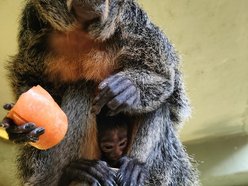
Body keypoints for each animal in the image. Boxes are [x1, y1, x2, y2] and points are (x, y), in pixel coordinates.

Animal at [1, 0, 199, 185]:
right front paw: (19, 129)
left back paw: (134, 166)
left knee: (159, 102)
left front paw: (129, 89)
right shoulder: (33, 26)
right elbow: (30, 79)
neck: (82, 29)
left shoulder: (130, 21)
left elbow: (165, 77)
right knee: (81, 89)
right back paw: (77, 172)